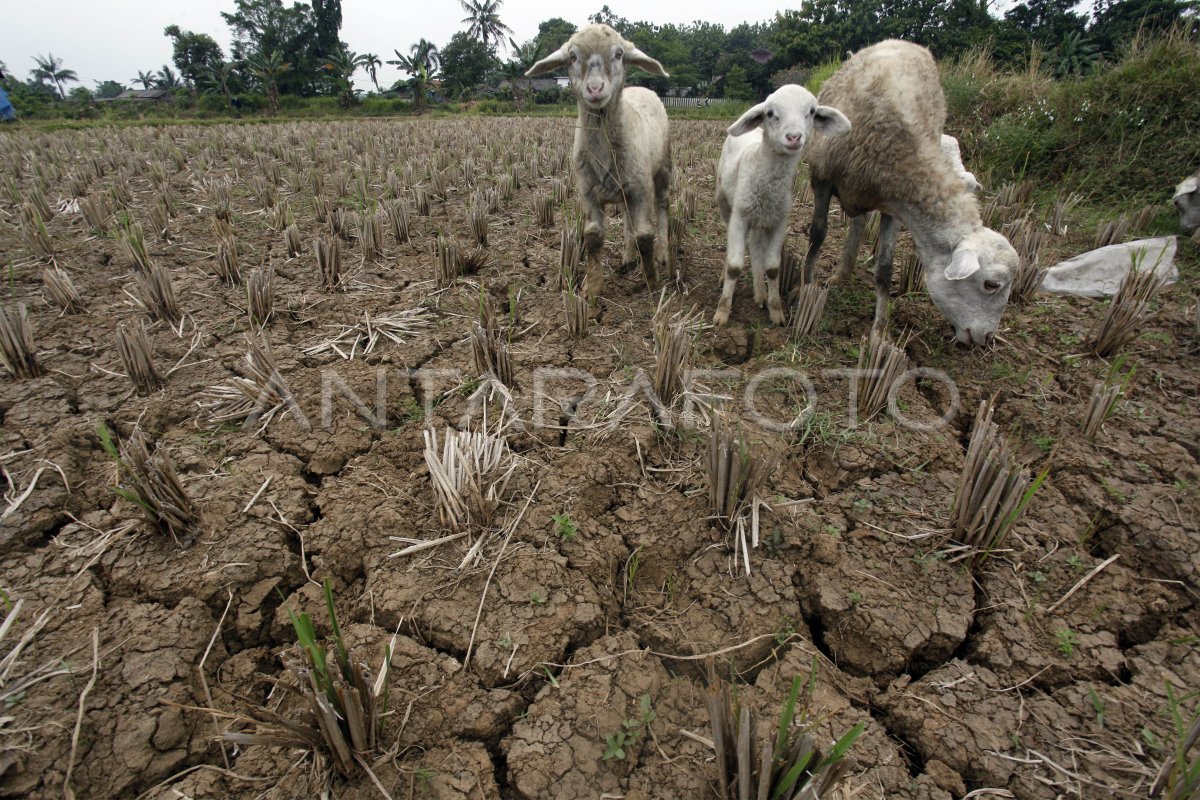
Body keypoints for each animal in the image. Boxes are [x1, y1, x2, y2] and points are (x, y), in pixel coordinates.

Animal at [528, 25, 676, 299]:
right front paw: (592, 288)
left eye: (619, 54)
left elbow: (645, 235)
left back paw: (662, 253)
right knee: (627, 218)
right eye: (573, 56)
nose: (595, 89)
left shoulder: (641, 189)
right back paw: (628, 257)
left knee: (662, 207)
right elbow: (593, 236)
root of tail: (640, 88)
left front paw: (652, 283)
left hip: (662, 169)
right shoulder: (587, 191)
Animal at [710, 84, 854, 326]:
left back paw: (760, 293)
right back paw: (726, 279)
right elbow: (735, 266)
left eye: (811, 112)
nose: (794, 137)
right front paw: (722, 313)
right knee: (734, 244)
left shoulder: (779, 223)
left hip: (762, 220)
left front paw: (776, 311)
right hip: (725, 205)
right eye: (770, 113)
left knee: (755, 246)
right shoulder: (740, 217)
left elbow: (773, 268)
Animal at [801, 39, 1017, 347]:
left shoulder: (895, 205)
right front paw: (806, 288)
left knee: (859, 223)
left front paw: (881, 331)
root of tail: (902, 41)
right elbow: (818, 234)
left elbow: (885, 269)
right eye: (991, 284)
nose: (986, 337)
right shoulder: (821, 177)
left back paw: (844, 272)